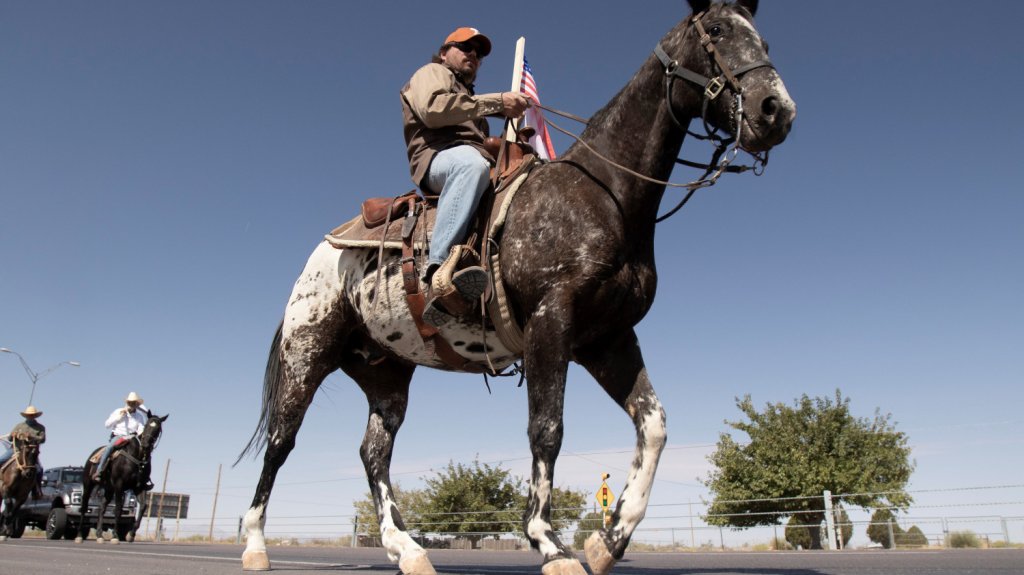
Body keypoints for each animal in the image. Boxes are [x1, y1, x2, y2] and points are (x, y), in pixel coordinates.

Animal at [75, 413, 168, 544]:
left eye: (158, 429)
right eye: (146, 425)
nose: (145, 445)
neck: (137, 457)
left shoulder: (139, 487)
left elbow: (143, 506)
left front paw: (131, 534)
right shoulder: (120, 485)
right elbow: (118, 509)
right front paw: (115, 536)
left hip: (109, 488)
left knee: (102, 507)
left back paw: (99, 535)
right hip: (88, 484)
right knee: (84, 507)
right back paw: (79, 535)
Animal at [237, 1, 794, 573]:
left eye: (764, 39)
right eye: (717, 31)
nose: (776, 109)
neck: (602, 195)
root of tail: (322, 254)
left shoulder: (607, 340)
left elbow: (653, 426)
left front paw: (608, 540)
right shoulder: (551, 322)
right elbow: (547, 429)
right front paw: (550, 543)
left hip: (386, 374)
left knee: (374, 454)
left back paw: (406, 547)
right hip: (308, 355)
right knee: (281, 442)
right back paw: (255, 544)